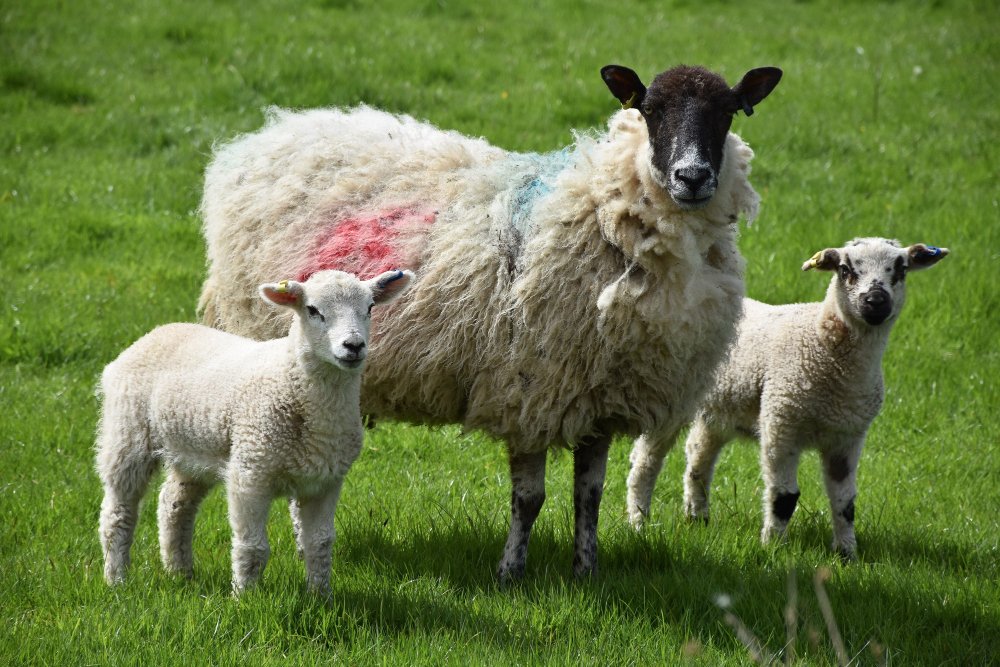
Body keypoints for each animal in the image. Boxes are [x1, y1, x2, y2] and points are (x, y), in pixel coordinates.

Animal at [96, 268, 413, 594]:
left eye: (370, 308)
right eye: (312, 310)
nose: (353, 346)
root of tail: (158, 332)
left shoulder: (325, 480)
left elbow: (320, 543)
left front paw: (320, 596)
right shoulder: (250, 472)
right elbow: (253, 547)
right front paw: (245, 596)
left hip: (193, 450)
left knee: (174, 504)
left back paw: (180, 572)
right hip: (126, 434)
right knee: (117, 512)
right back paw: (116, 579)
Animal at [196, 63, 783, 580]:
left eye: (728, 111)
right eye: (651, 108)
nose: (693, 177)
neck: (600, 211)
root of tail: (267, 135)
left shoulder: (598, 397)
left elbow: (588, 495)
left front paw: (586, 571)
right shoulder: (528, 389)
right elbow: (529, 498)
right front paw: (510, 573)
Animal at [627, 237, 949, 558]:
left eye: (901, 269)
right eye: (845, 269)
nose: (876, 301)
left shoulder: (847, 437)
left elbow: (845, 503)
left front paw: (847, 554)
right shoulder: (781, 422)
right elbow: (784, 497)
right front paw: (772, 549)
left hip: (718, 411)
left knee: (697, 457)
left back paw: (697, 517)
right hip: (666, 399)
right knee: (644, 464)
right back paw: (639, 523)